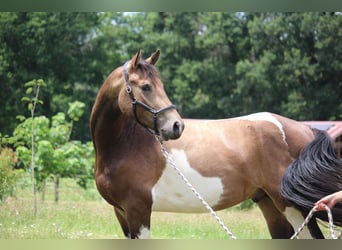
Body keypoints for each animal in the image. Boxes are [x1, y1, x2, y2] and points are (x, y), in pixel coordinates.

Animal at [89, 48, 338, 238]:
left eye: (159, 85)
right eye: (146, 86)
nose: (176, 126)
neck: (124, 145)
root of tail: (306, 129)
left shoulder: (138, 210)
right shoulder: (122, 212)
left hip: (292, 206)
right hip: (270, 204)